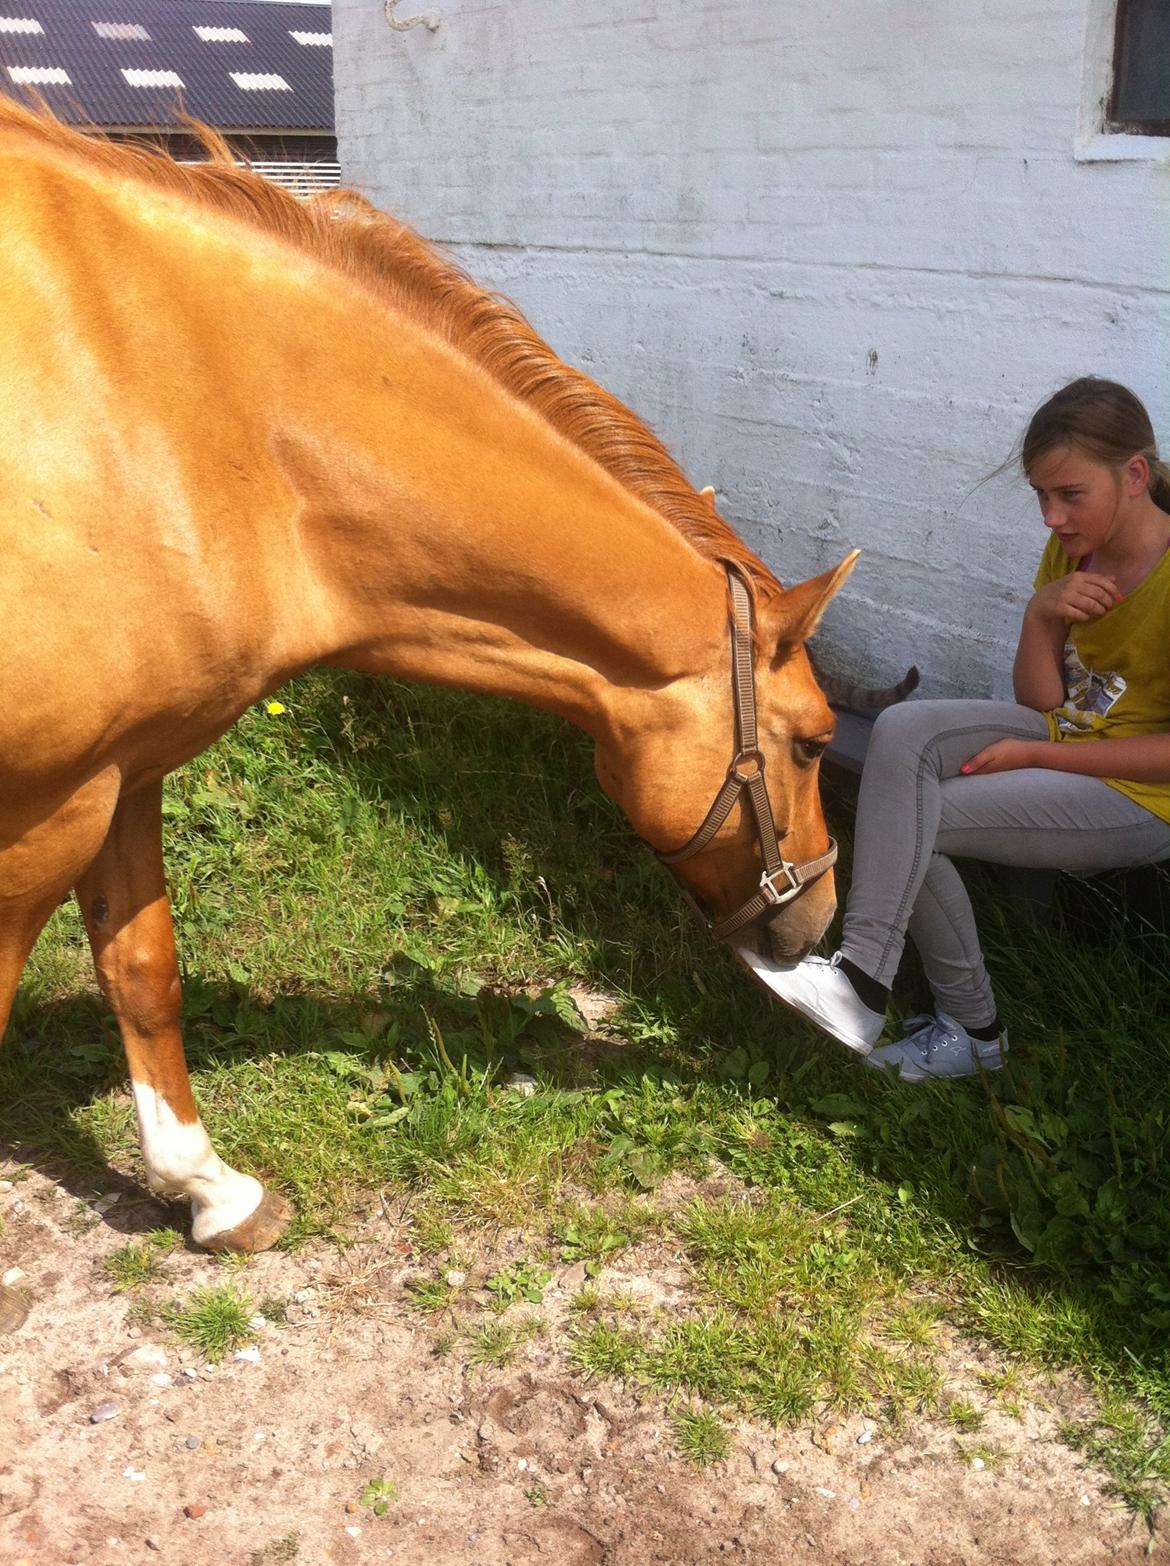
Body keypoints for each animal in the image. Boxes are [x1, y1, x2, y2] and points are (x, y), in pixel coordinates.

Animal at [0, 97, 858, 1321]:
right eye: (814, 742)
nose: (819, 917)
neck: (192, 408)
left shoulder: (121, 772)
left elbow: (145, 972)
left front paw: (210, 1191)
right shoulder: (42, 809)